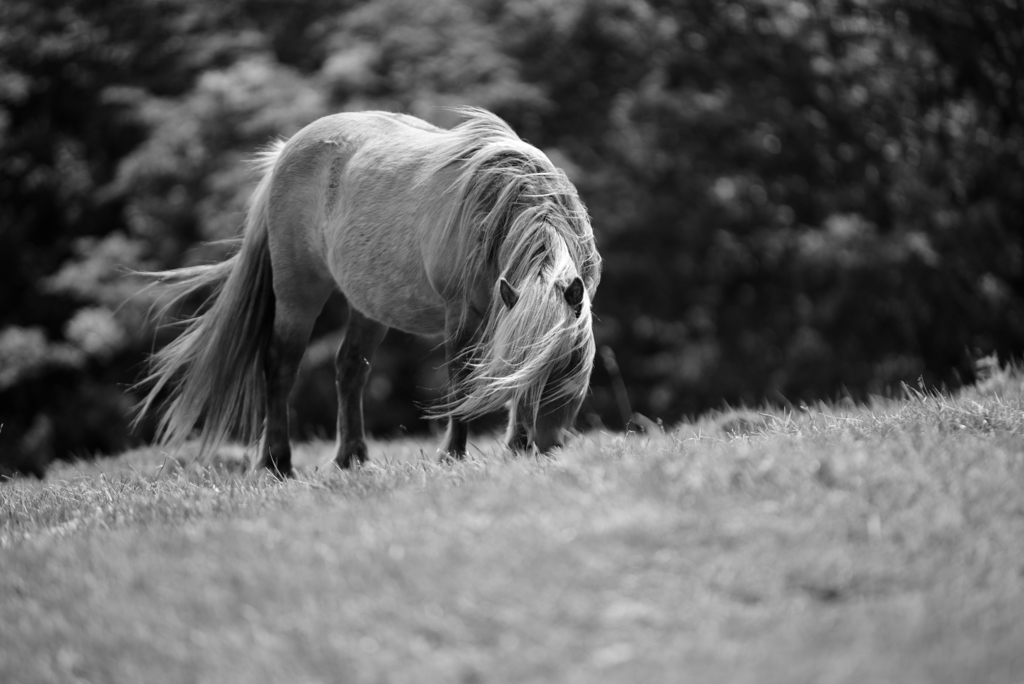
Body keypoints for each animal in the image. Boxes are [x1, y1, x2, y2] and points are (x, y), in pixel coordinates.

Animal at [134, 109, 598, 479]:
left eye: (569, 360)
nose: (539, 443)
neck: (499, 202)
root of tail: (284, 152)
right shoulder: (460, 314)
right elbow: (461, 382)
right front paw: (452, 455)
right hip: (298, 292)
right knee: (280, 365)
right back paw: (277, 462)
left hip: (370, 305)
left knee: (350, 368)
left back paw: (351, 458)